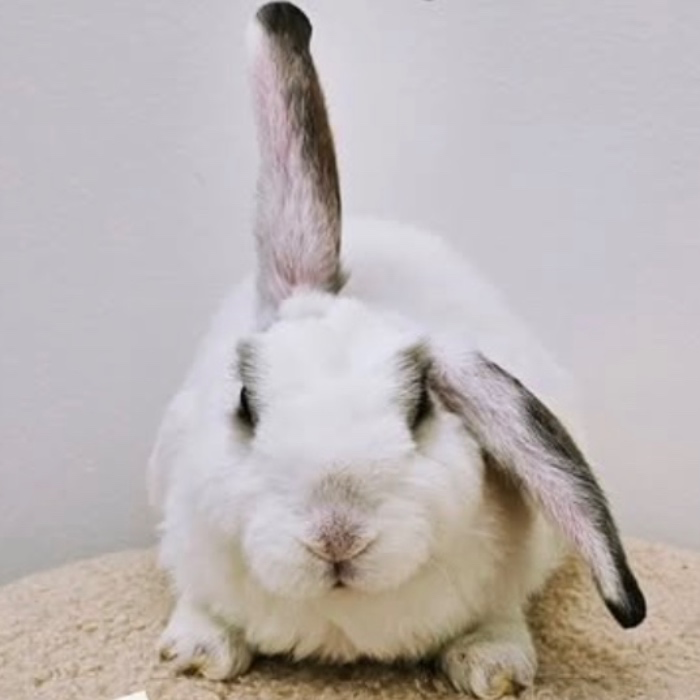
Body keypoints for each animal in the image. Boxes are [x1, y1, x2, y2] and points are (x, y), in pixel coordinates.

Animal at [148, 3, 646, 697]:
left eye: (418, 411)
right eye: (247, 403)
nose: (337, 536)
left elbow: (499, 617)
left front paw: (495, 669)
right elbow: (200, 601)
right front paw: (196, 654)